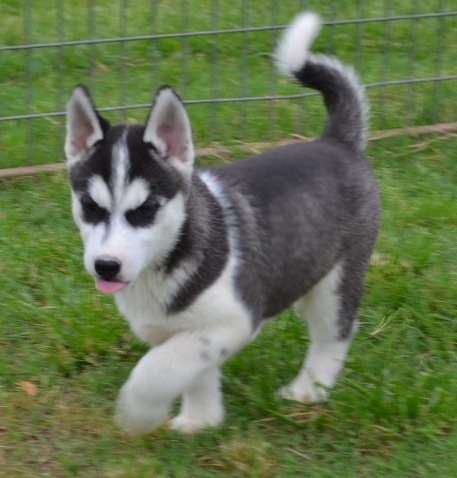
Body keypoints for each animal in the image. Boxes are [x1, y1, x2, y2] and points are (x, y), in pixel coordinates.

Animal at [64, 13, 378, 436]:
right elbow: (192, 371)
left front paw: (140, 411)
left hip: (338, 279)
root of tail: (335, 142)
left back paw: (308, 390)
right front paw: (200, 420)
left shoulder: (235, 319)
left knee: (335, 333)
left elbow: (157, 368)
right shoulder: (186, 330)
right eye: (89, 206)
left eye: (146, 209)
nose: (106, 267)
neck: (166, 259)